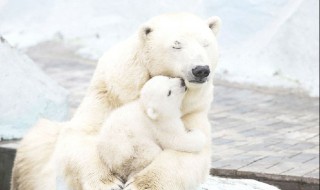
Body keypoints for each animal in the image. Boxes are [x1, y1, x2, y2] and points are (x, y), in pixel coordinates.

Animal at [10, 12, 220, 189]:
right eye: (176, 45)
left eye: (205, 43)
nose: (200, 69)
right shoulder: (110, 93)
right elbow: (83, 135)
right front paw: (108, 182)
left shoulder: (192, 109)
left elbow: (189, 152)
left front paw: (139, 184)